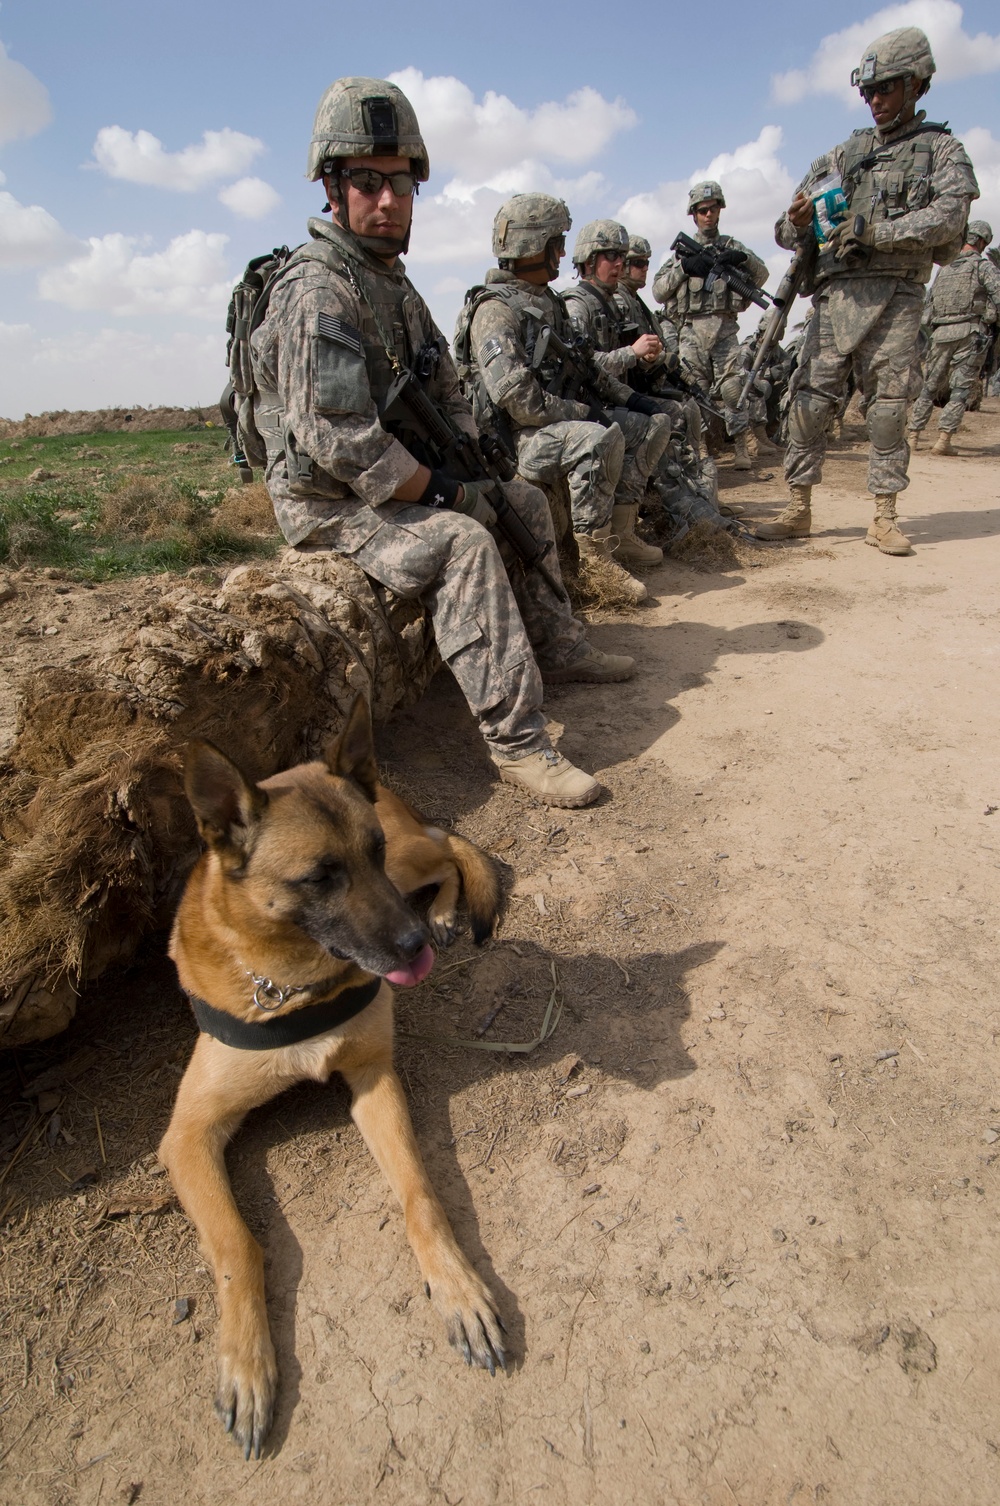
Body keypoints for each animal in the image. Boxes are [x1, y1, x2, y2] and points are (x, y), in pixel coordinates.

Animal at [163, 695, 509, 1457]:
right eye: (318, 877)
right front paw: (246, 1365)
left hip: (411, 860)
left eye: (367, 854)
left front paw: (459, 1289)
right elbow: (236, 1244)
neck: (295, 986)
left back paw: (445, 908)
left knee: (448, 847)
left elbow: (420, 1195)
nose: (411, 948)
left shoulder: (375, 1079)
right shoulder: (188, 1136)